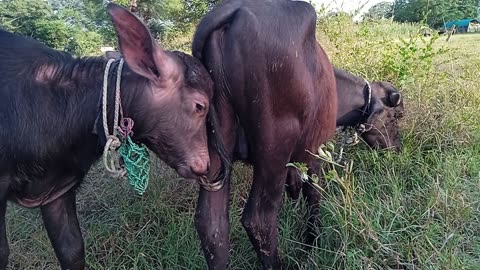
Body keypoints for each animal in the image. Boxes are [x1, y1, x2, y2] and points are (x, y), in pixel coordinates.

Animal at [191, 0, 338, 268]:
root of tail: (234, 9)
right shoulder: (314, 150)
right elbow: (314, 192)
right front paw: (312, 243)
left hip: (215, 144)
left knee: (211, 225)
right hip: (274, 146)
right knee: (260, 219)